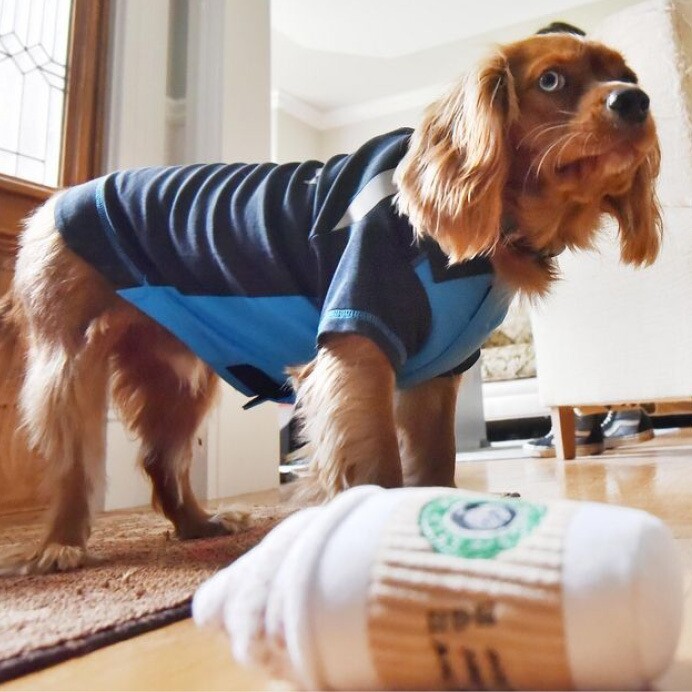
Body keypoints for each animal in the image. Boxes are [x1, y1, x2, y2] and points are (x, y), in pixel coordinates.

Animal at [0, 29, 660, 572]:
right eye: (551, 81)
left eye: (627, 74)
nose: (636, 101)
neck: (495, 232)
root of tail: (55, 202)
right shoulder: (357, 346)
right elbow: (380, 464)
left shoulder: (436, 375)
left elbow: (436, 461)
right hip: (69, 367)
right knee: (73, 461)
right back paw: (59, 546)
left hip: (179, 379)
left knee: (162, 461)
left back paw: (198, 523)